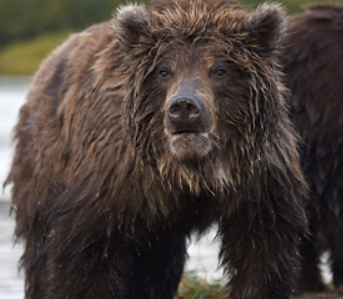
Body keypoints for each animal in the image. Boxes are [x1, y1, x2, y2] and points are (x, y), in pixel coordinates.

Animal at [5, 0, 308, 298]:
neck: (190, 172)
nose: (184, 107)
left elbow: (261, 254)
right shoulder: (115, 176)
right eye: (164, 71)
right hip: (44, 166)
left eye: (219, 70)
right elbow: (86, 257)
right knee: (39, 250)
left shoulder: (258, 179)